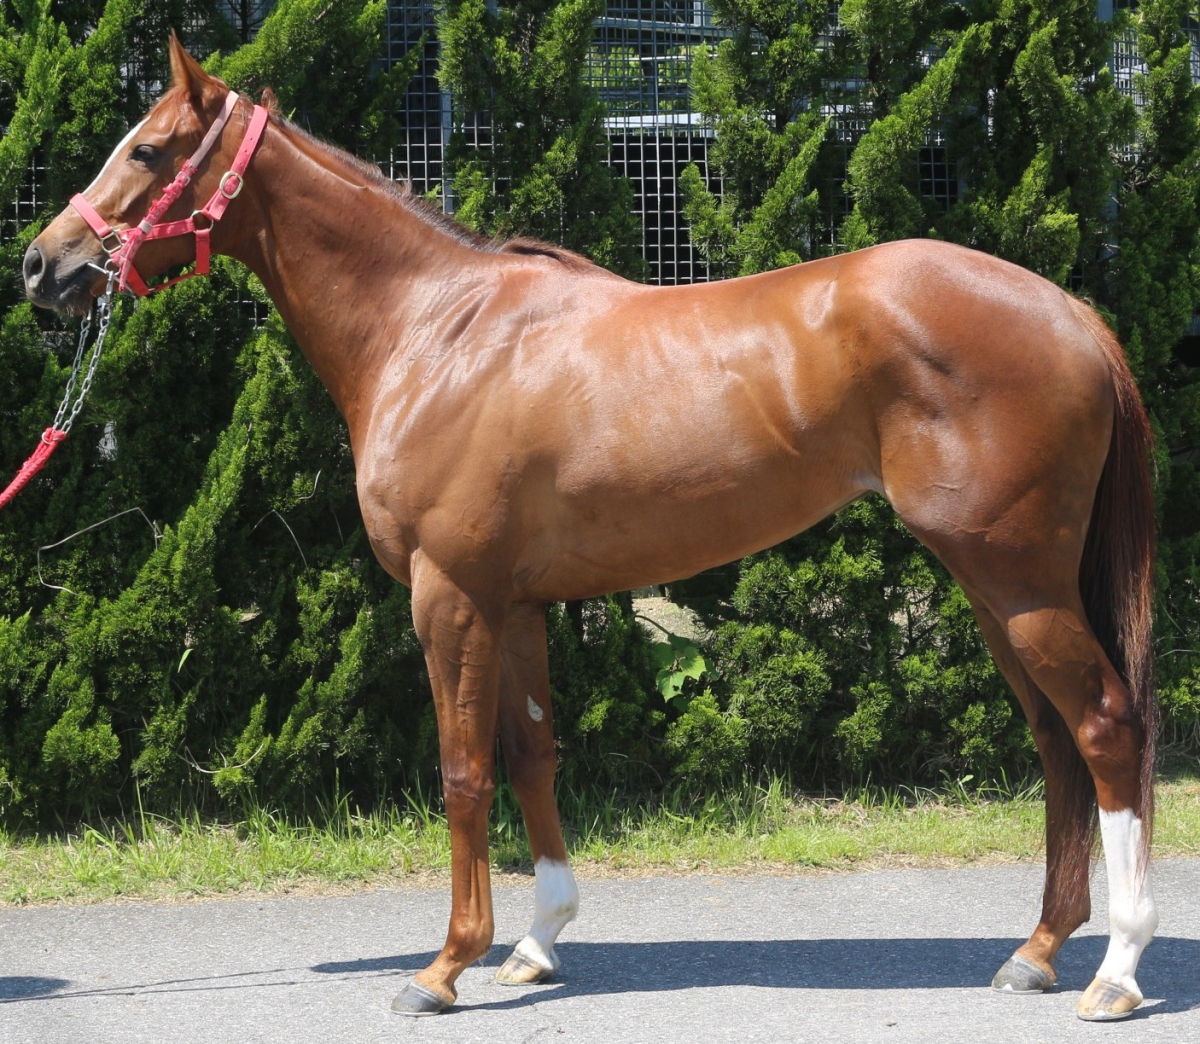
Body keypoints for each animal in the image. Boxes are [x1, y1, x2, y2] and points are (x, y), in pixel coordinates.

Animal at [23, 37, 1158, 1022]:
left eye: (148, 150)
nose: (43, 265)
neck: (436, 332)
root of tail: (1071, 313)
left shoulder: (449, 596)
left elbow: (464, 773)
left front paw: (443, 967)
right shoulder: (515, 603)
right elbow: (533, 755)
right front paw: (535, 943)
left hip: (1018, 580)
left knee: (1106, 727)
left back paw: (1116, 972)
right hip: (997, 586)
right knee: (1058, 742)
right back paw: (1038, 953)